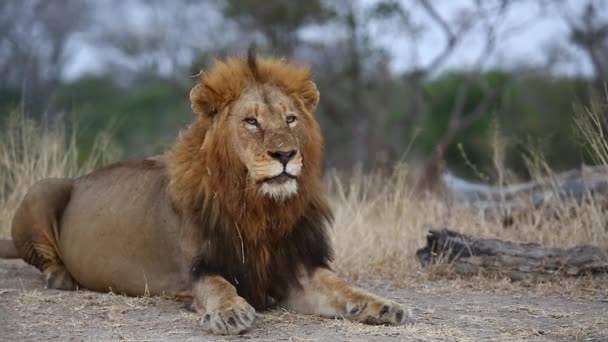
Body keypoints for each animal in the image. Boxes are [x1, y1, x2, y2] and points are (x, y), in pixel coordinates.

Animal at [1, 49, 414, 336]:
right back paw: (60, 278)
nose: (284, 155)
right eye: (251, 121)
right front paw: (230, 312)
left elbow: (342, 285)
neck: (260, 209)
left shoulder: (294, 268)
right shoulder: (199, 270)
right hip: (44, 187)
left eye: (290, 119)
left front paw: (384, 305)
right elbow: (218, 287)